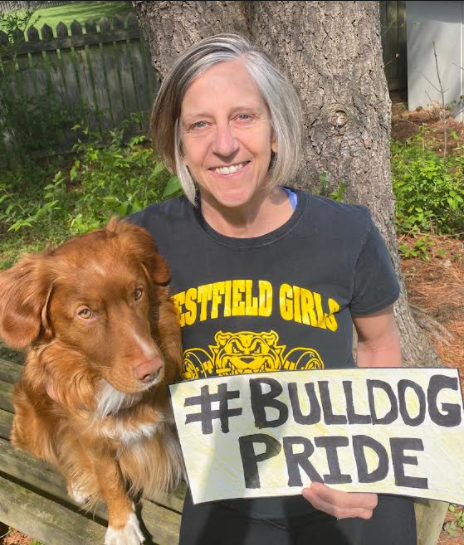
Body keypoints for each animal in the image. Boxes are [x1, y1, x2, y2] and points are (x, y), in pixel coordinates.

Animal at [0, 219, 185, 544]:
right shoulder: (88, 430)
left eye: (138, 293)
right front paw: (122, 524)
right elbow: (108, 475)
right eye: (85, 313)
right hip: (31, 414)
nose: (153, 369)